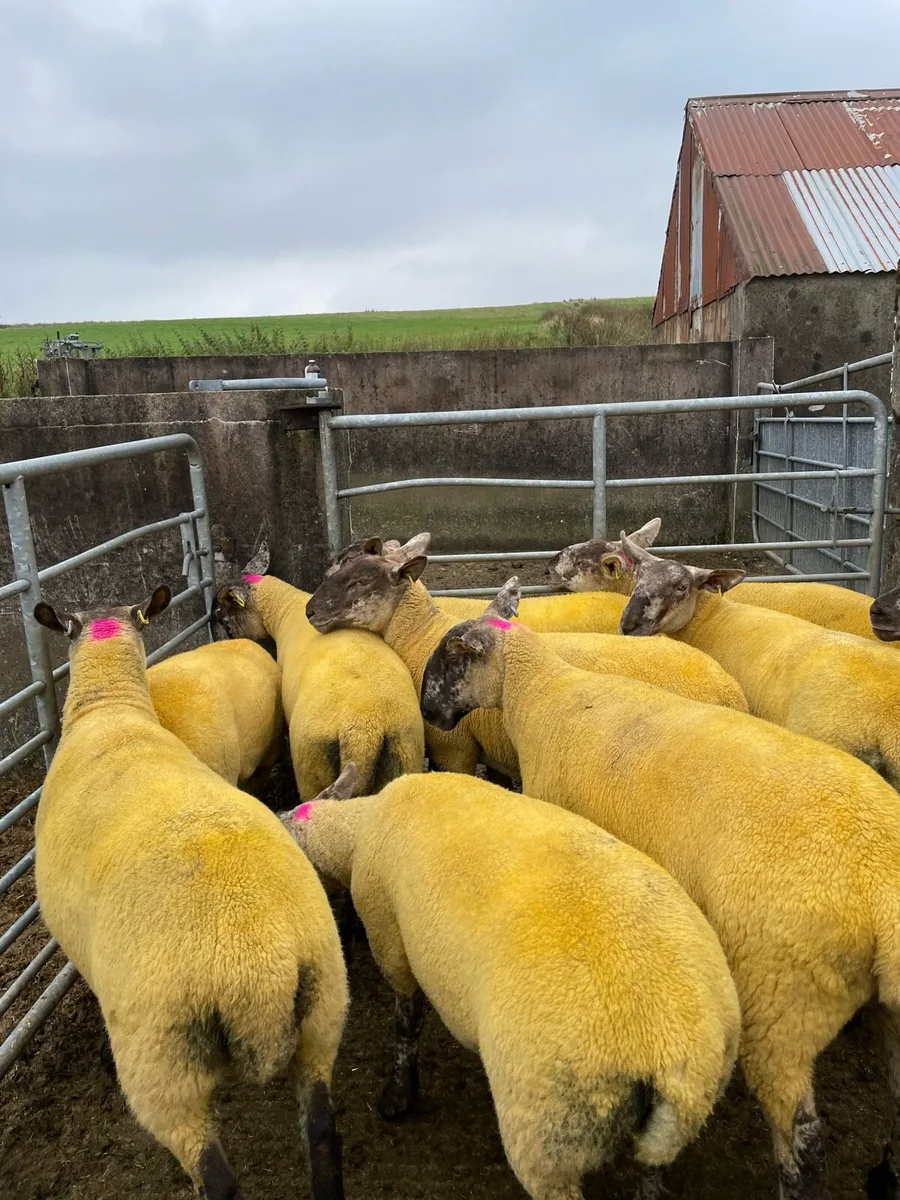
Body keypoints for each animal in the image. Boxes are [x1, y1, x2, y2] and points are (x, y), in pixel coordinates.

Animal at [211, 542, 424, 799]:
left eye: (222, 615)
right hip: (407, 754)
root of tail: (363, 735)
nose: (218, 640)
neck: (285, 609)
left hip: (311, 768)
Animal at [278, 764, 740, 1200]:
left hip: (549, 1132)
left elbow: (407, 1024)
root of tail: (668, 1052)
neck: (358, 829)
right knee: (654, 1171)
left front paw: (398, 1097)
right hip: (677, 1119)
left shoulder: (390, 940)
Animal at [419, 585, 900, 1200]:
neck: (544, 698)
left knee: (804, 1139)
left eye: (451, 657)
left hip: (784, 995)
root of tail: (880, 885)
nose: (427, 712)